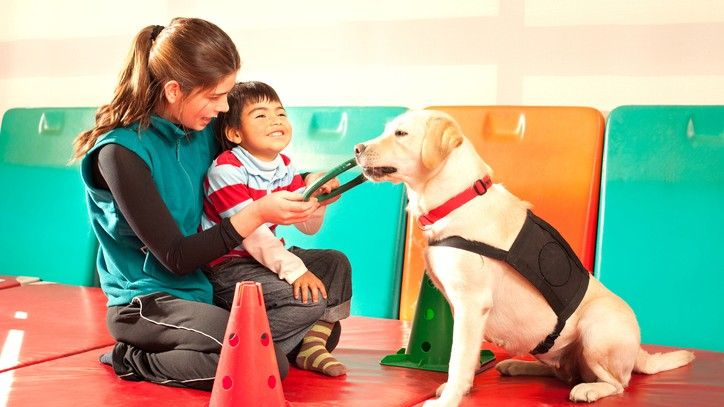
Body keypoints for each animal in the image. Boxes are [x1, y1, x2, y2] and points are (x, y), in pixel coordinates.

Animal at [354, 110, 692, 406]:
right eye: (386, 130)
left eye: (400, 134)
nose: (357, 149)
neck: (456, 200)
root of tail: (639, 354)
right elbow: (465, 356)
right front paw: (461, 387)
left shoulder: (471, 303)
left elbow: (458, 359)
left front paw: (450, 397)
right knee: (561, 373)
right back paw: (519, 365)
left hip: (597, 329)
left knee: (617, 384)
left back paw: (589, 390)